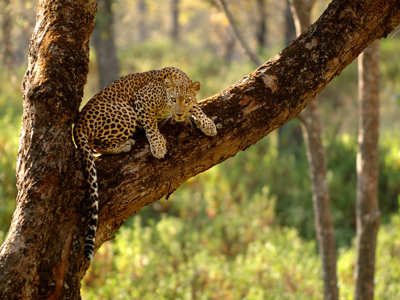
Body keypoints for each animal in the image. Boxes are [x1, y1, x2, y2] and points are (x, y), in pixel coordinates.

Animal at [74, 66, 219, 260]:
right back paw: (126, 144)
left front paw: (207, 123)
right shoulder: (142, 100)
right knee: (97, 146)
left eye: (185, 100)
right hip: (125, 111)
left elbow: (196, 106)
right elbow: (150, 124)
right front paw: (158, 145)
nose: (179, 114)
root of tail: (78, 124)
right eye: (173, 100)